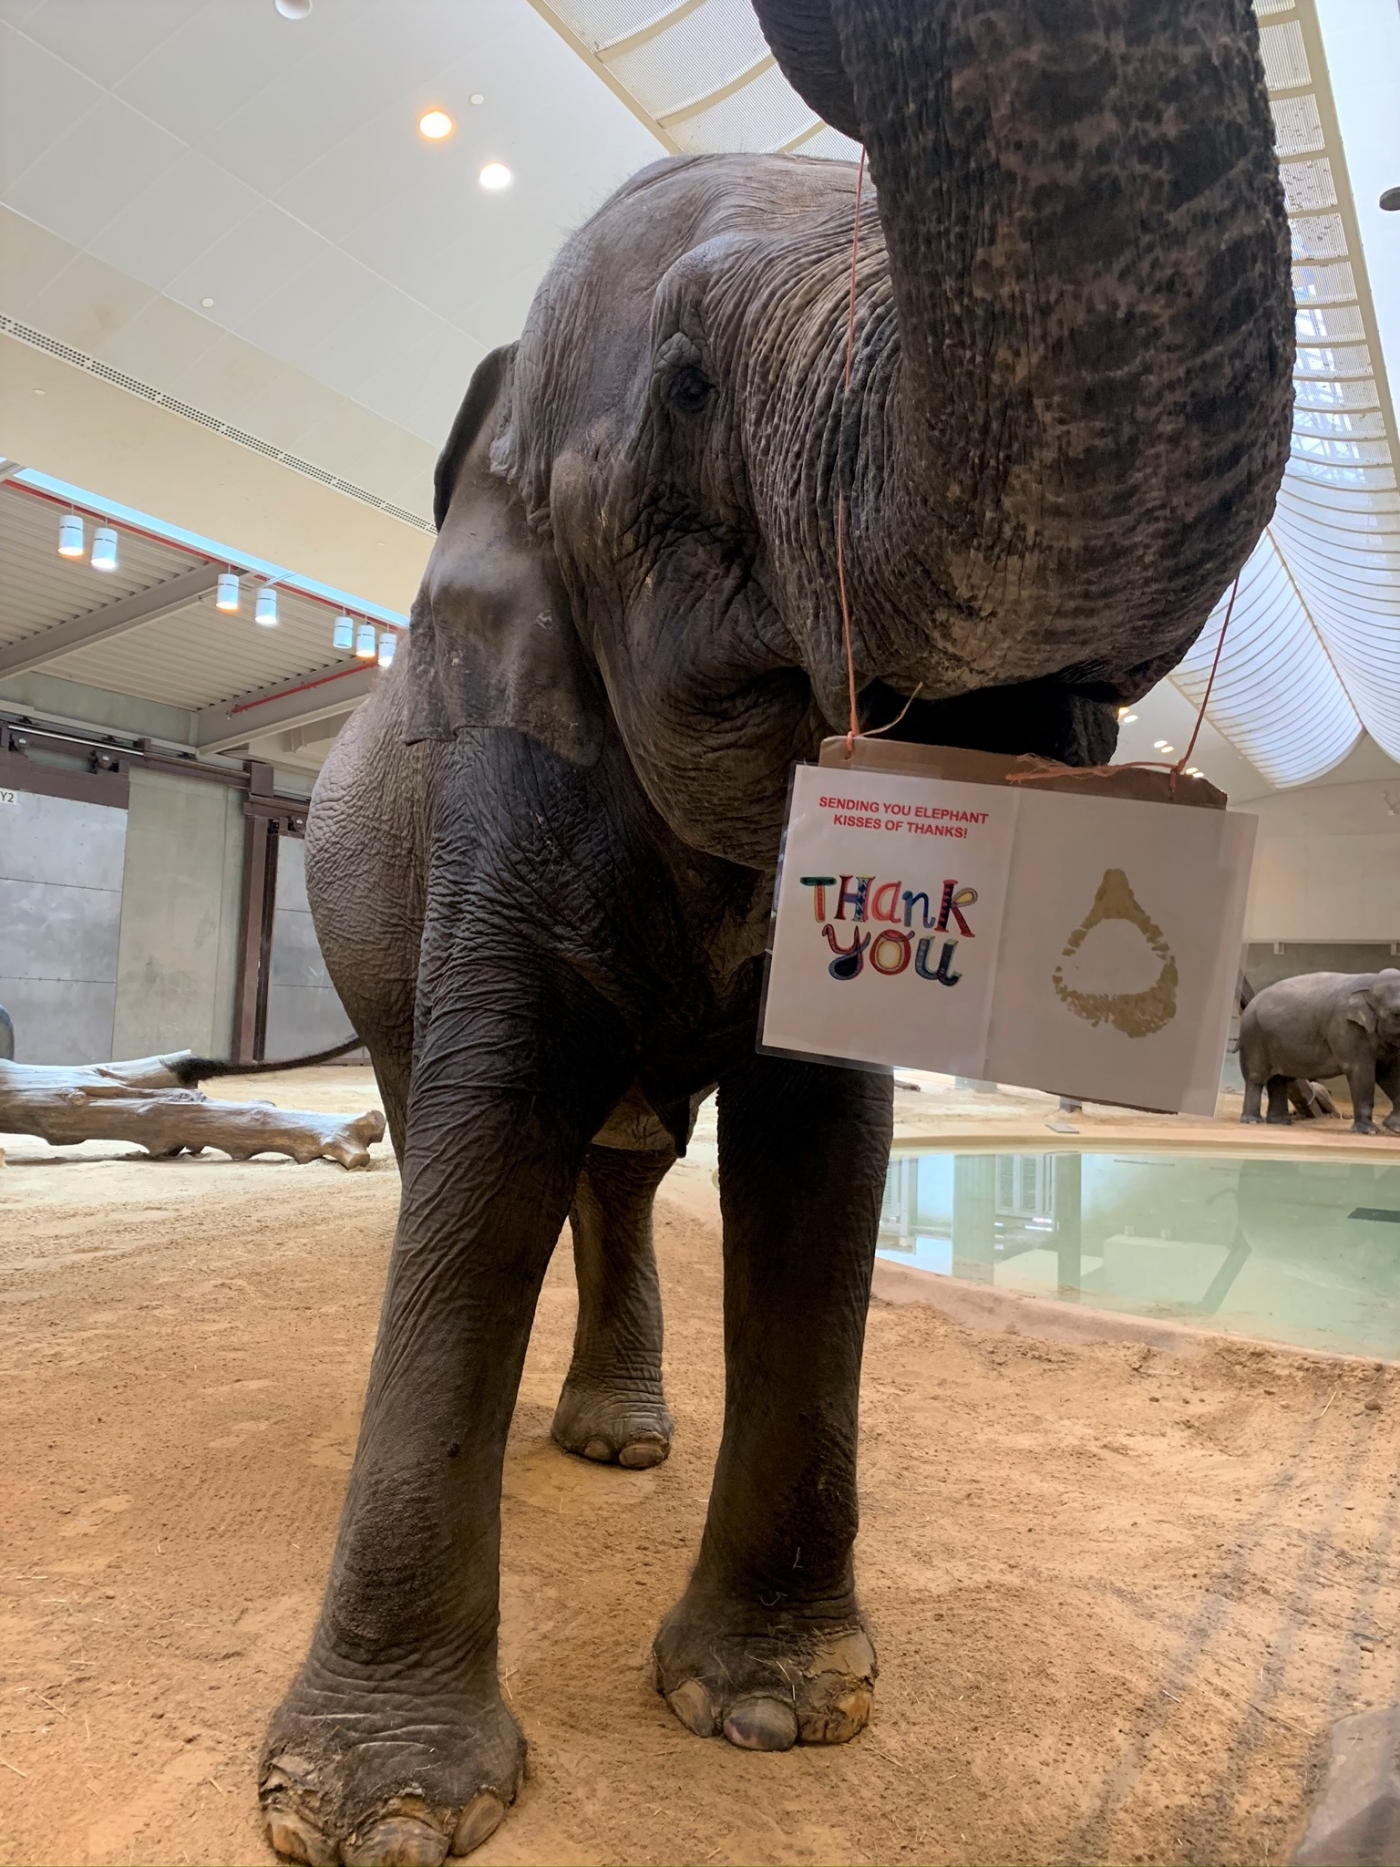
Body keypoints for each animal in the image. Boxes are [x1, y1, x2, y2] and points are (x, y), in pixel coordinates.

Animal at [261, 7, 1291, 1859]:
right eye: (686, 390)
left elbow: (824, 1172)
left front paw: (772, 1712)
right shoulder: (507, 791)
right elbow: (483, 1137)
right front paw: (376, 1811)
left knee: (619, 1167)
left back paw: (617, 1443)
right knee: (469, 1139)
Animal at [1239, 970, 1400, 1127]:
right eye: (1397, 1013)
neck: (1372, 981)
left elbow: (1388, 1073)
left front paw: (1394, 1127)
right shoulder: (1345, 1027)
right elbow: (1359, 1069)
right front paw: (1369, 1130)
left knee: (1278, 1079)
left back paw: (1280, 1122)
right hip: (1253, 1037)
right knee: (1256, 1078)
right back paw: (1252, 1121)